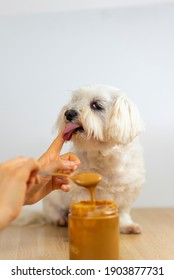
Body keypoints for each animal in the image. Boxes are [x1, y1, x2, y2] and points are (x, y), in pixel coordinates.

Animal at [42, 85, 145, 234]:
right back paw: (60, 220)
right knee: (52, 213)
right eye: (75, 100)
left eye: (96, 105)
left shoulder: (128, 191)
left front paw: (126, 225)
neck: (104, 157)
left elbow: (124, 212)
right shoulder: (81, 191)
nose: (69, 113)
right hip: (52, 201)